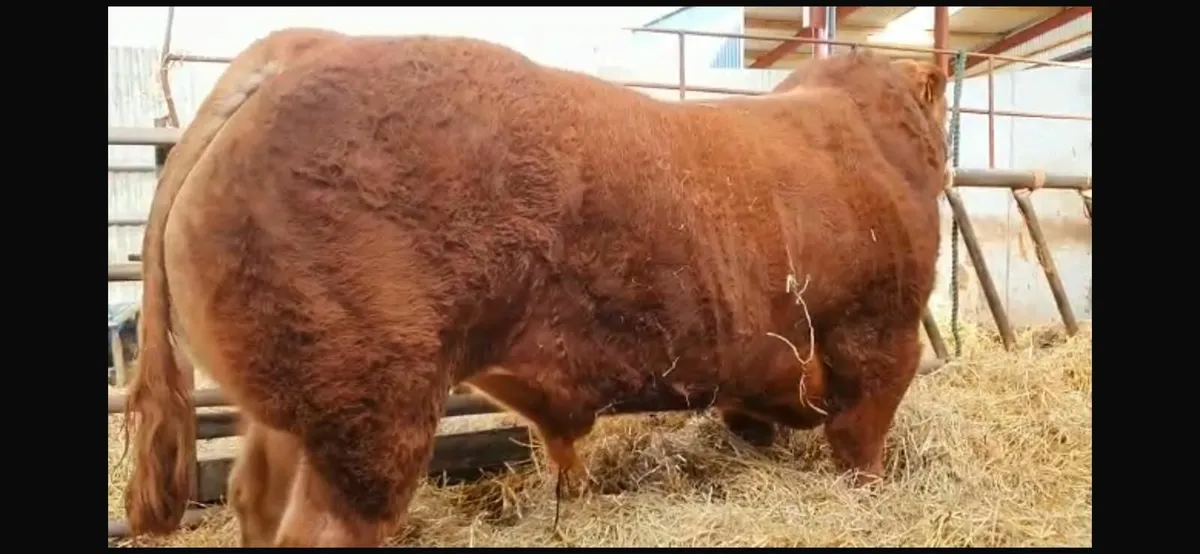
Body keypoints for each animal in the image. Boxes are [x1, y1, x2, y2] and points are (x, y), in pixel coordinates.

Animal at [122, 28, 948, 547]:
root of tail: (301, 47)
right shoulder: (880, 337)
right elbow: (861, 442)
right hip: (368, 412)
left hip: (291, 413)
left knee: (255, 501)